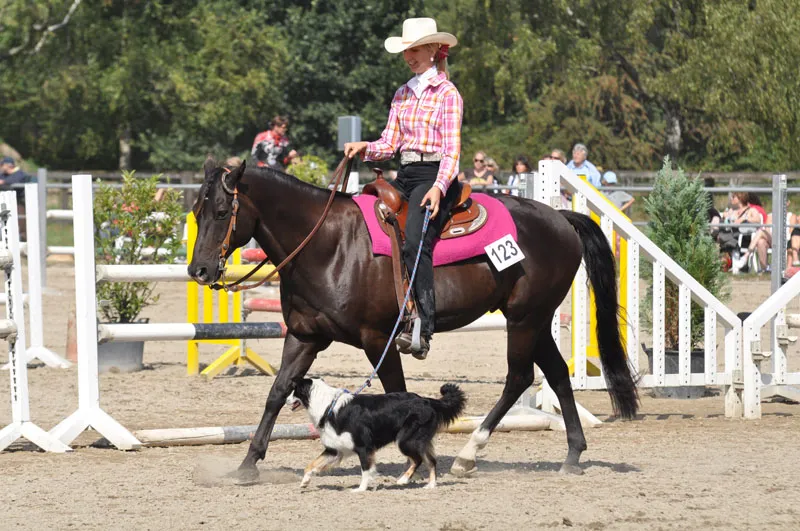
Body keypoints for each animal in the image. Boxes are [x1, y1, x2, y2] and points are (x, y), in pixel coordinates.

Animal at [188, 159, 636, 482]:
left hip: (525, 319)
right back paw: (572, 454)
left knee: (519, 377)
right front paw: (248, 463)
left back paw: (469, 455)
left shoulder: (378, 340)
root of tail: (560, 218)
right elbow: (277, 392)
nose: (199, 271)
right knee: (557, 374)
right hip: (535, 320)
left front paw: (409, 463)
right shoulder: (304, 336)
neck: (328, 245)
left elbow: (395, 392)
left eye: (223, 211)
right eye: (195, 210)